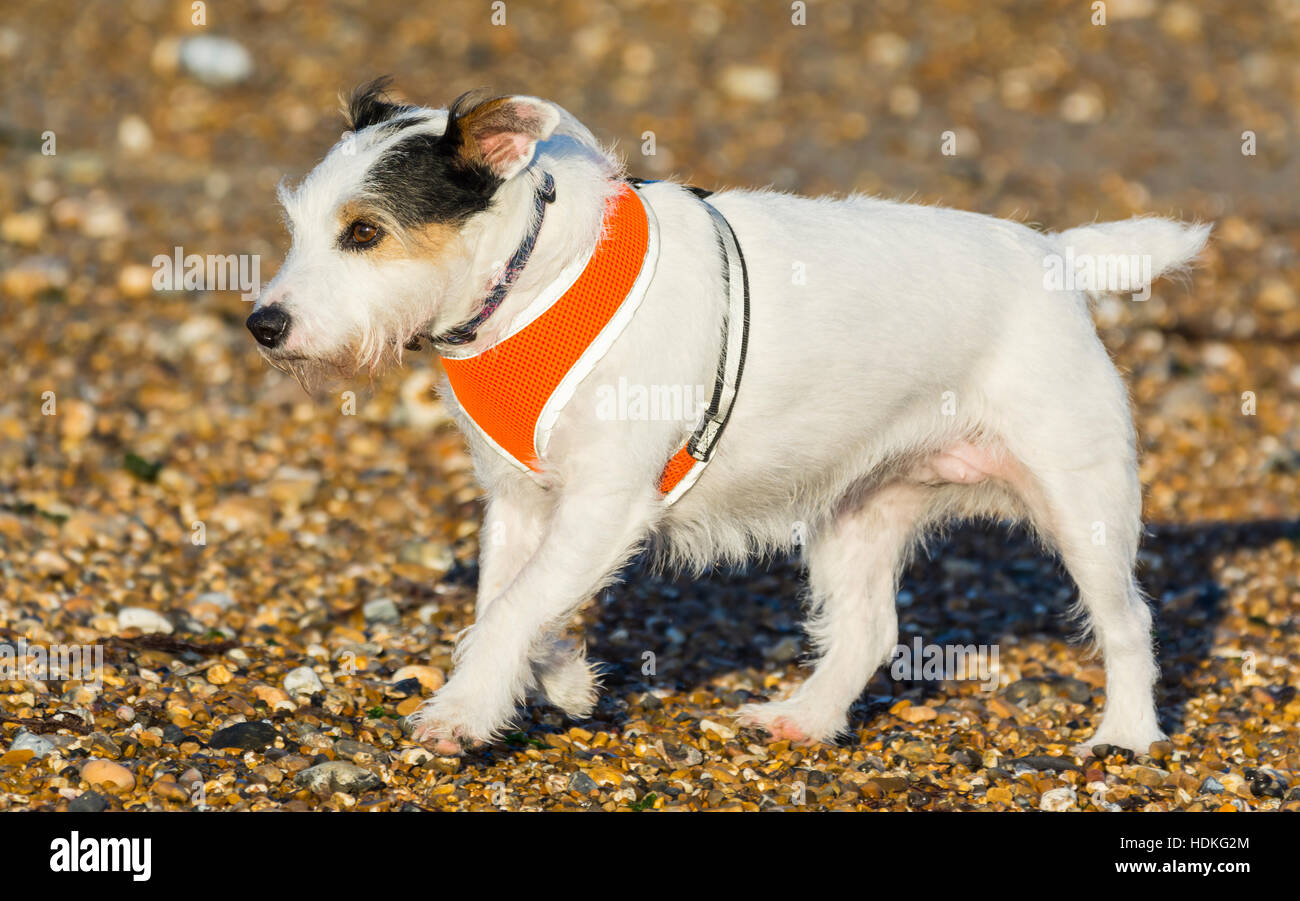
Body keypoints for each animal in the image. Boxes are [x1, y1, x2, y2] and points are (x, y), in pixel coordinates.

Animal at [250, 80, 1206, 759]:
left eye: (365, 232)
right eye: (298, 225)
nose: (263, 325)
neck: (533, 280)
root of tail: (1054, 253)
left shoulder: (606, 502)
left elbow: (512, 607)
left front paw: (460, 711)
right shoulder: (522, 504)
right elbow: (509, 603)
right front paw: (563, 682)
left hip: (1081, 498)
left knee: (1128, 621)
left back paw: (1125, 734)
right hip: (859, 508)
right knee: (868, 630)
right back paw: (805, 718)